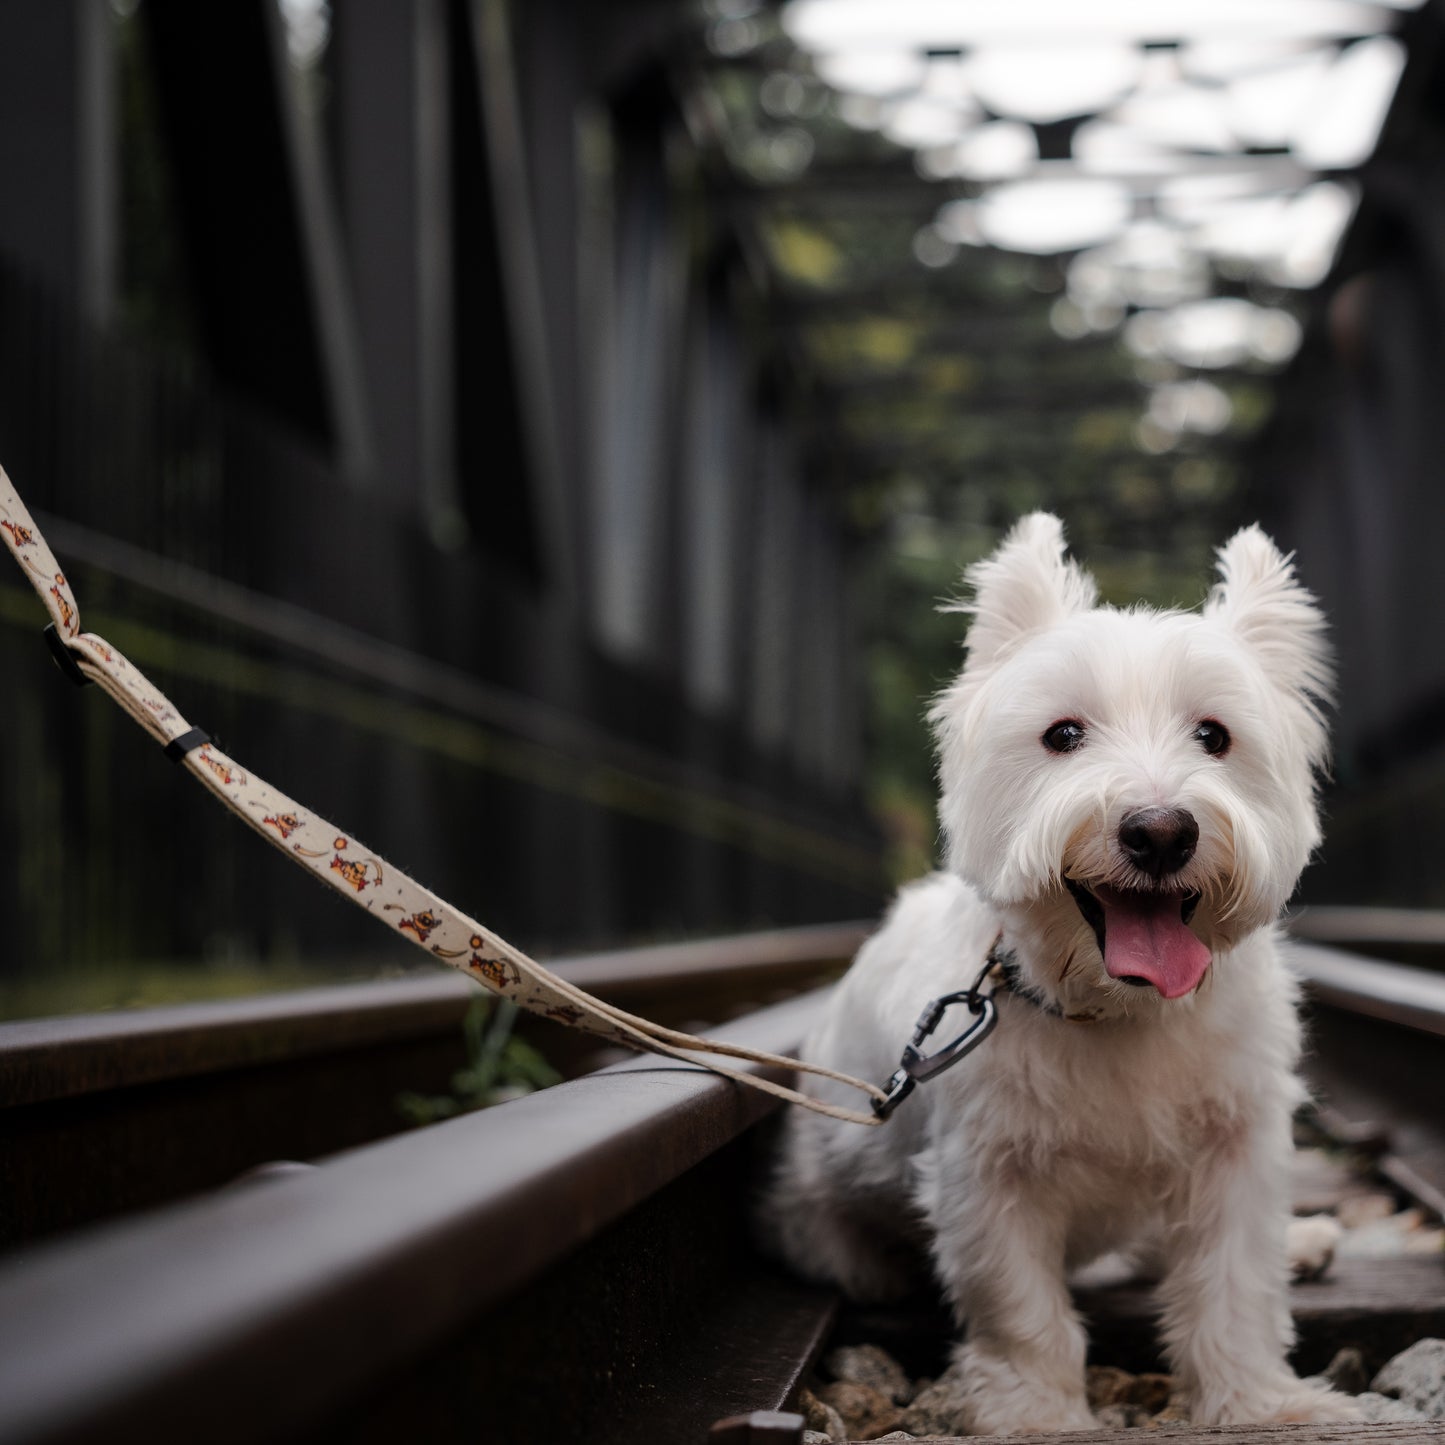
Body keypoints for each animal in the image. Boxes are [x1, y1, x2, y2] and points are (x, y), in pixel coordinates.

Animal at [762, 517, 1358, 1433]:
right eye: (1063, 734)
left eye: (1214, 735)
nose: (1160, 831)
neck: (1114, 1008)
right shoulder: (987, 1175)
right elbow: (1020, 1305)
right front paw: (1035, 1413)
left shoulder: (1236, 1145)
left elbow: (1234, 1283)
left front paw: (1262, 1401)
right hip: (835, 1231)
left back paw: (1305, 1240)